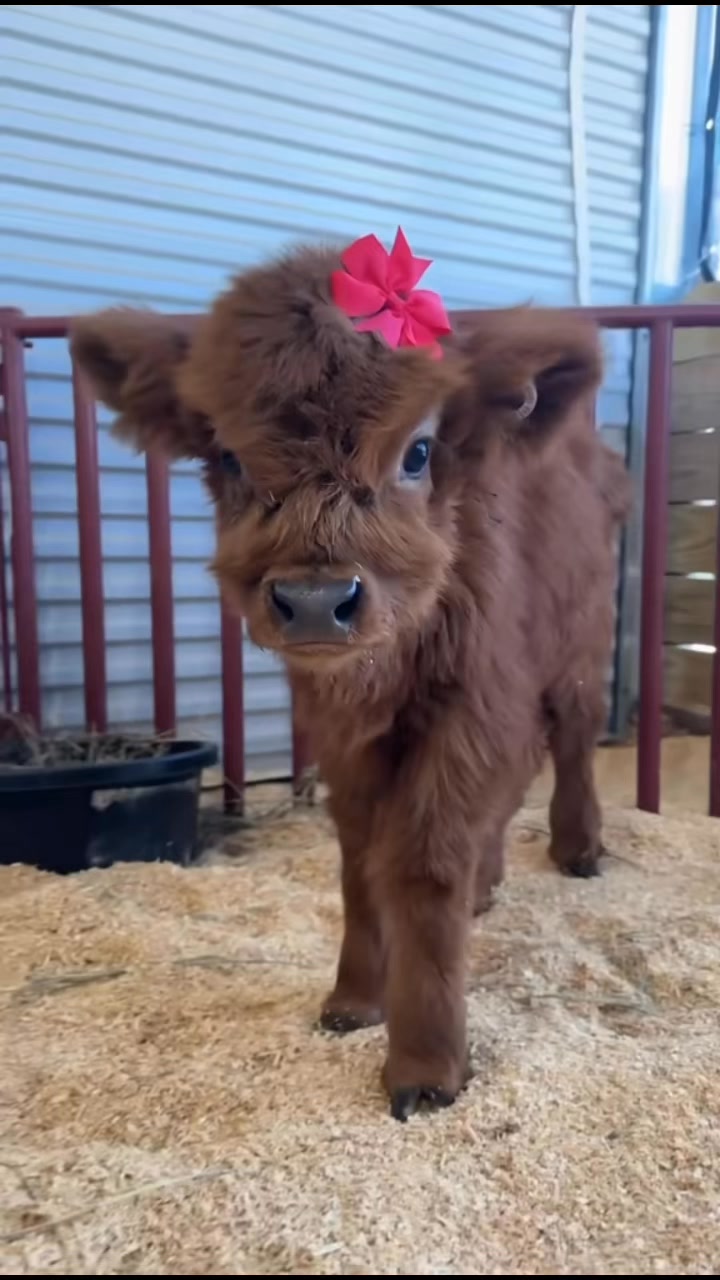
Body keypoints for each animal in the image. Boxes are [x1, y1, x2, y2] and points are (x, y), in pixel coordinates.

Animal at [71, 230, 631, 1121]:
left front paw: (426, 1063)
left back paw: (580, 850)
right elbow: (362, 861)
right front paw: (355, 1000)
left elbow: (424, 860)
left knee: (572, 743)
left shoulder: (472, 707)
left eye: (419, 451)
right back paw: (488, 886)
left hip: (577, 648)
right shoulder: (343, 735)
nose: (314, 601)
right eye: (228, 454)